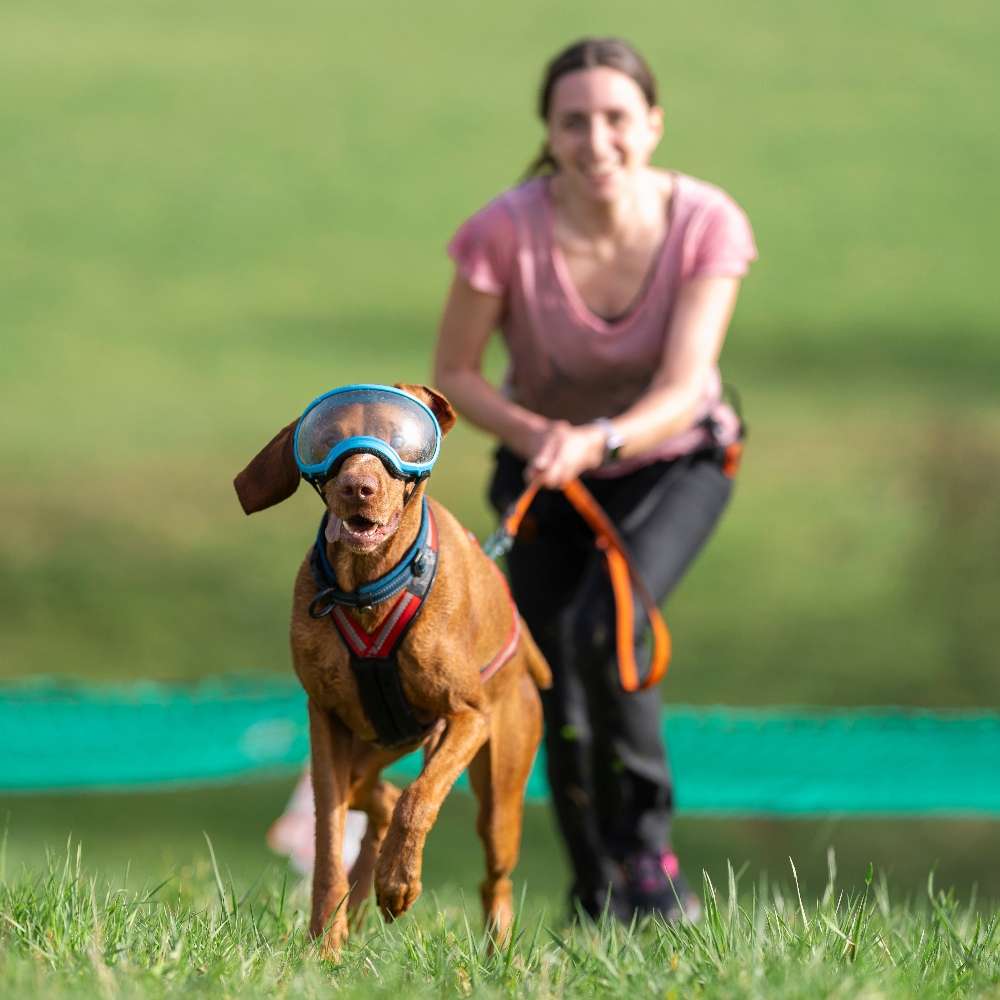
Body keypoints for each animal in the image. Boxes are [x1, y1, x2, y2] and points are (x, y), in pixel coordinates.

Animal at [233, 380, 552, 952]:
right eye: (329, 439)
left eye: (400, 439)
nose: (358, 487)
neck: (369, 586)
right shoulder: (326, 725)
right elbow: (329, 843)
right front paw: (325, 944)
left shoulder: (468, 716)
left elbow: (418, 799)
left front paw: (399, 882)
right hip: (370, 746)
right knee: (372, 798)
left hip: (499, 788)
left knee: (492, 875)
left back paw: (499, 953)